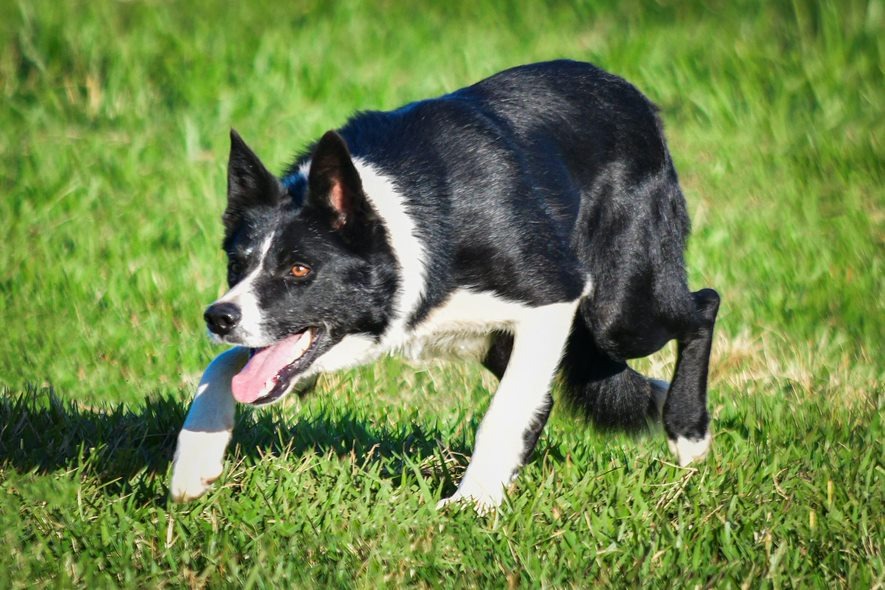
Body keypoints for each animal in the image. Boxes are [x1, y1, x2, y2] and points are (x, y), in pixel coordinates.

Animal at [171, 61, 720, 512]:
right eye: (236, 264)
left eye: (300, 270)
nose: (217, 318)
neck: (408, 224)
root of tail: (631, 95)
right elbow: (224, 365)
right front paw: (193, 464)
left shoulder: (554, 294)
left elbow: (504, 412)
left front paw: (472, 505)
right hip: (514, 342)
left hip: (619, 311)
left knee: (702, 306)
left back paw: (688, 434)